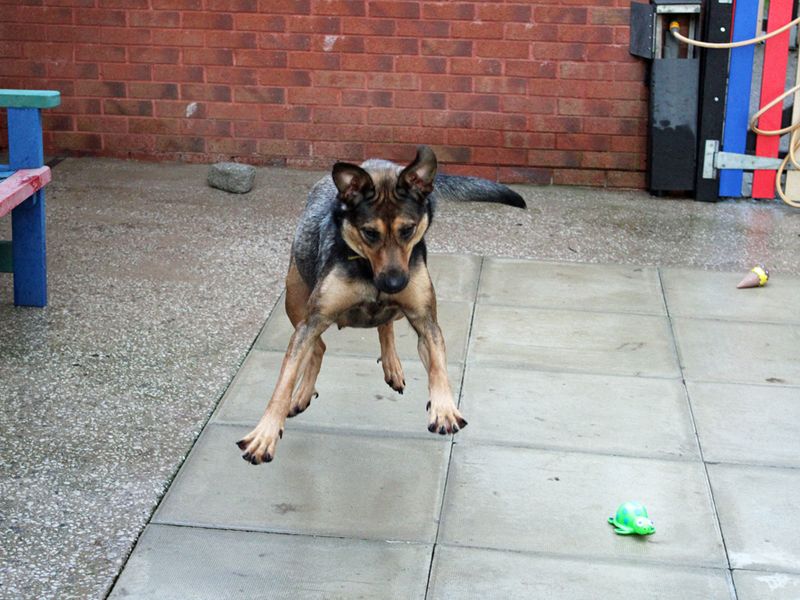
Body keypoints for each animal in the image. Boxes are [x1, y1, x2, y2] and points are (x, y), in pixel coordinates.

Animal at [238, 146, 524, 464]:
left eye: (408, 230)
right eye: (370, 233)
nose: (394, 284)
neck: (369, 273)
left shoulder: (425, 321)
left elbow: (438, 365)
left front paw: (444, 408)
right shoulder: (312, 321)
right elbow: (284, 381)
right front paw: (265, 433)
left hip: (396, 312)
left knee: (385, 324)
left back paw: (392, 364)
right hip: (295, 299)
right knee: (319, 347)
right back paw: (302, 394)